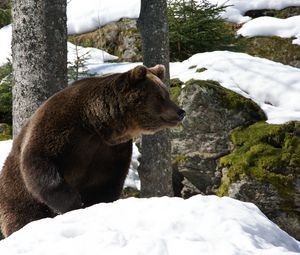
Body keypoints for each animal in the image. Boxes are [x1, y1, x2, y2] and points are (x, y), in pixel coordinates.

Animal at [0, 65, 185, 237]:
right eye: (160, 96)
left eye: (166, 94)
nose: (181, 112)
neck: (96, 124)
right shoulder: (60, 126)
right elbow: (39, 161)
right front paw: (74, 202)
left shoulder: (110, 150)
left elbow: (106, 182)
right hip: (16, 194)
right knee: (23, 215)